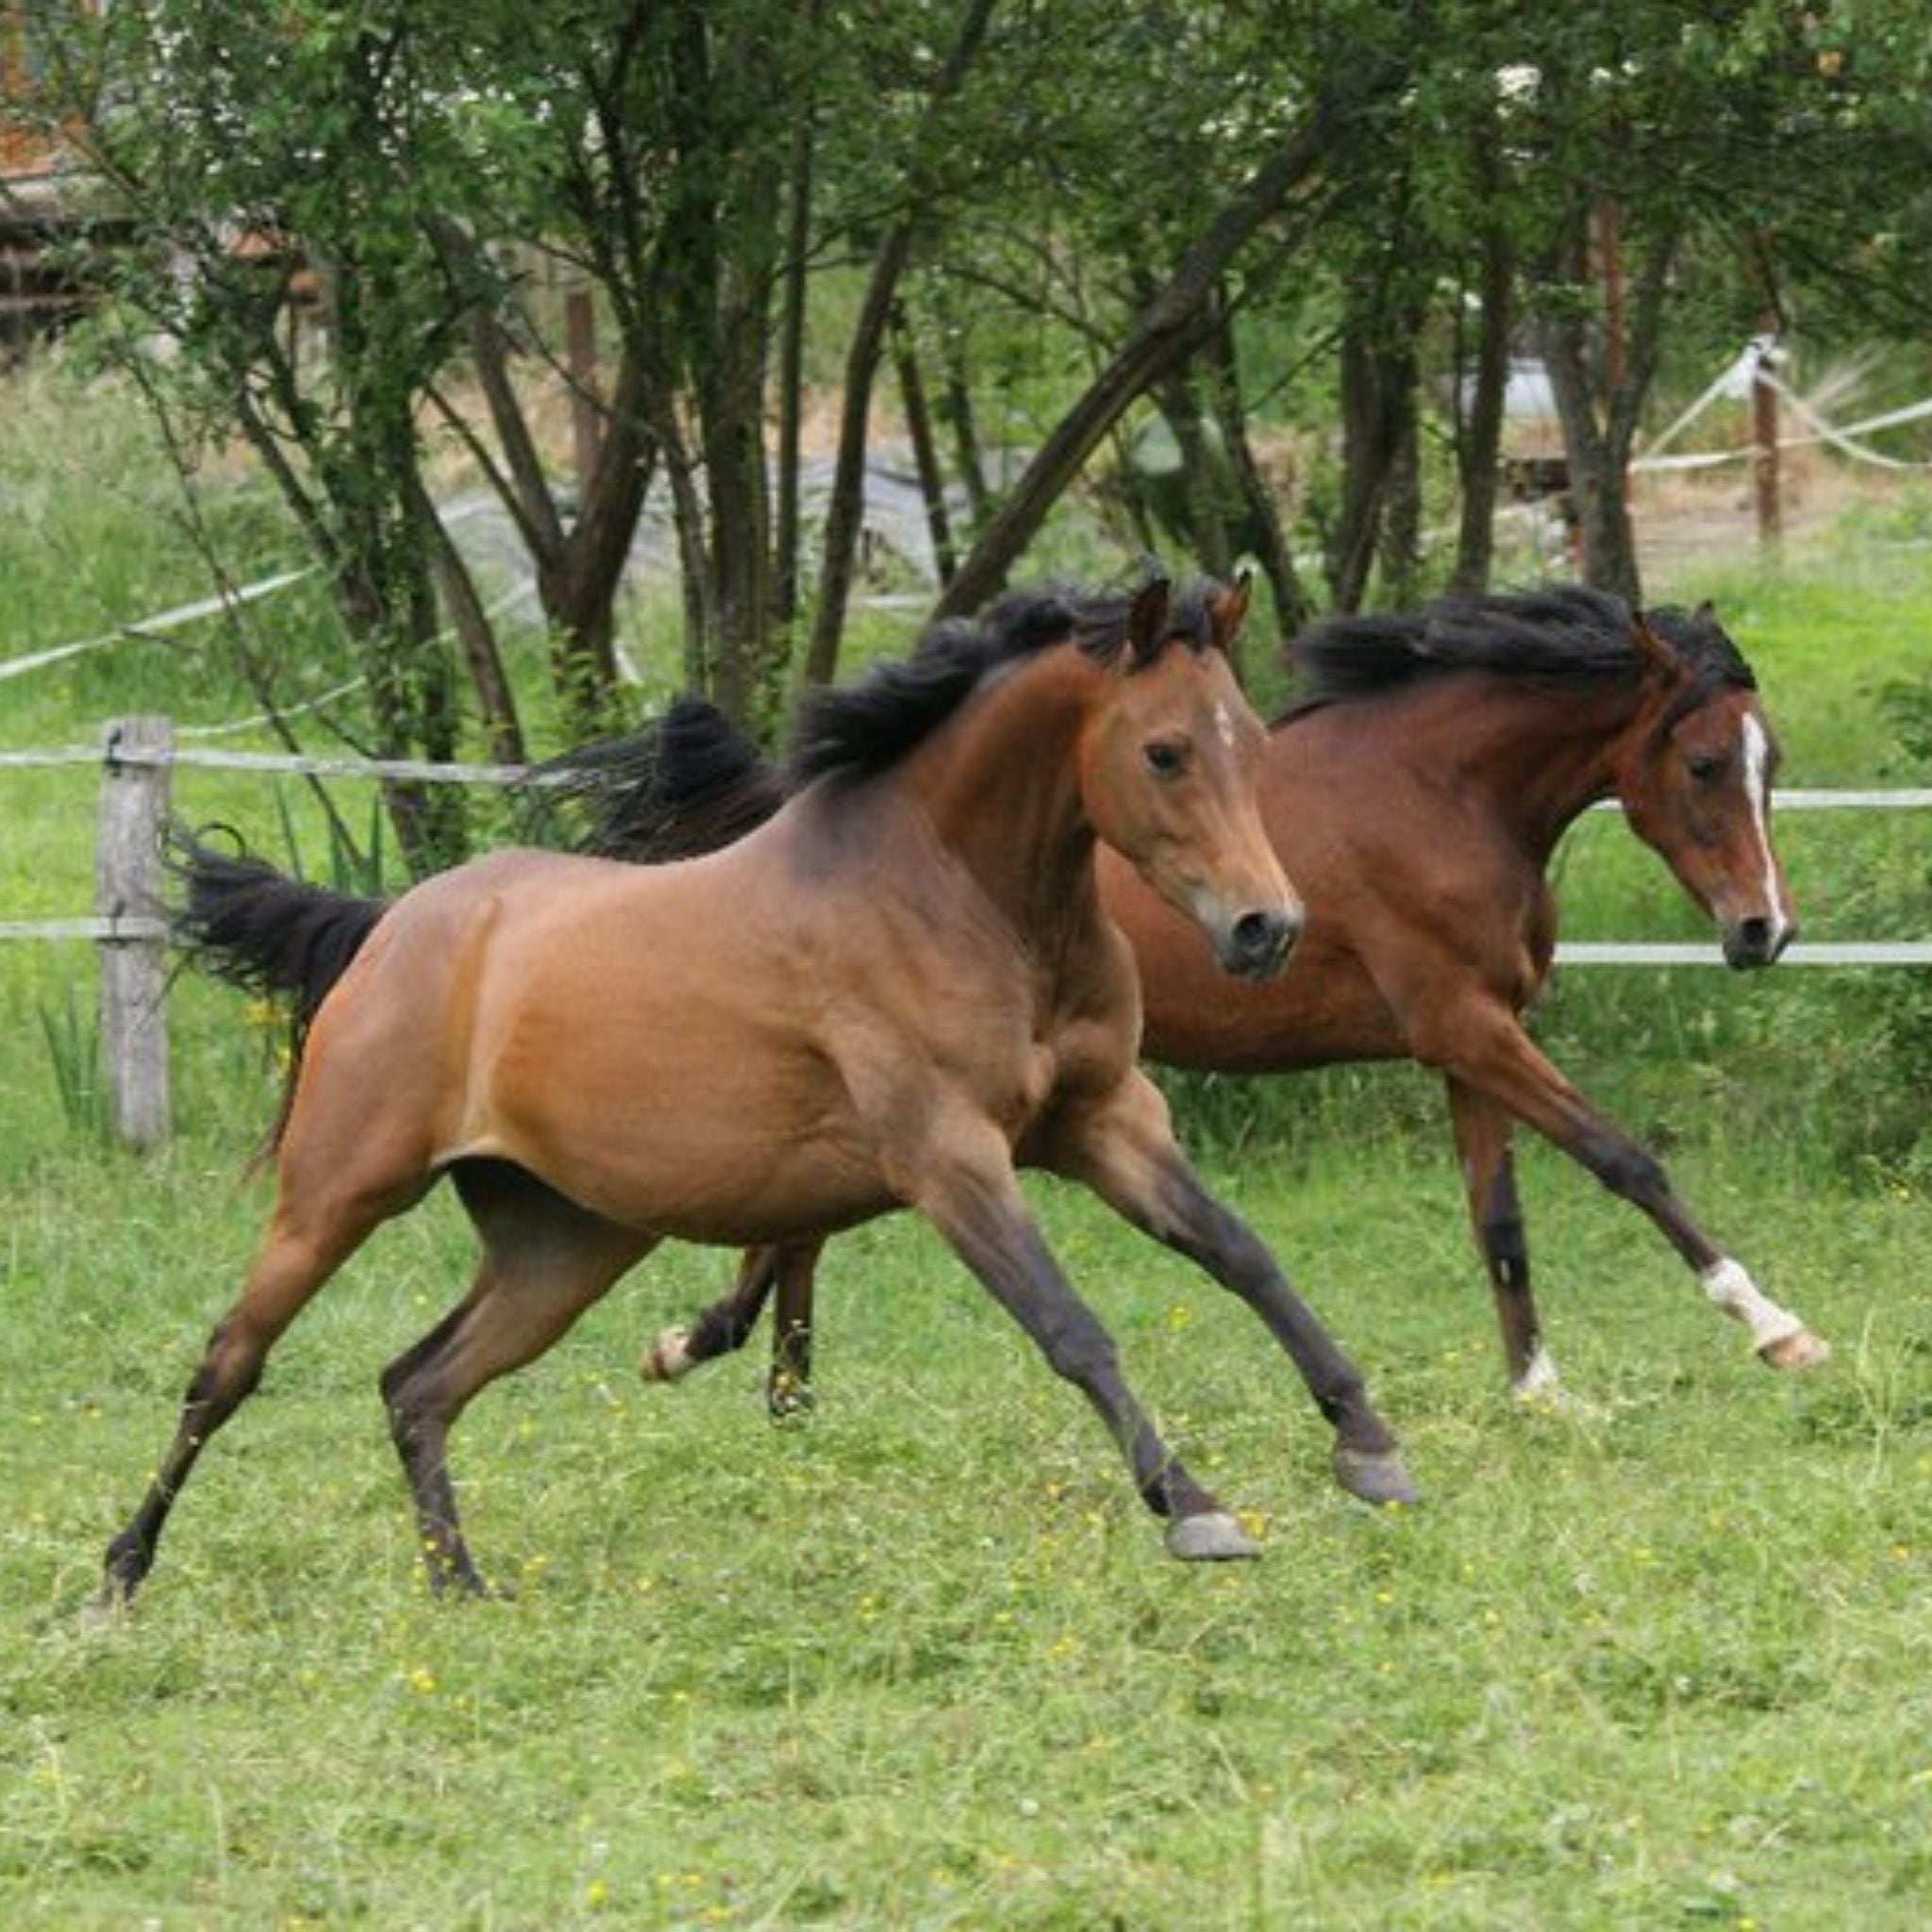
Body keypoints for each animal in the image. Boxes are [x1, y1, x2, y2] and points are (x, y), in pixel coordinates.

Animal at [102, 579, 1422, 1607]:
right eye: (1162, 750)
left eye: (1251, 743)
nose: (1264, 928)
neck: (966, 900)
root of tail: (394, 925)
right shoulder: (951, 1158)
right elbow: (1071, 1327)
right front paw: (1194, 1506)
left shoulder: (1105, 1121)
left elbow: (1245, 1257)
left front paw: (1368, 1446)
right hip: (338, 1196)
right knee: (228, 1364)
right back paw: (120, 1573)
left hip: (563, 1244)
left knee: (416, 1383)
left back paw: (460, 1585)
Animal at [575, 579, 1824, 1414]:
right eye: (1703, 763)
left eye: (1770, 760)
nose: (1762, 930)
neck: (1435, 795)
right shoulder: (1467, 1027)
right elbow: (1625, 1160)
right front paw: (1772, 1326)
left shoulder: (1469, 1040)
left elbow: (1499, 1220)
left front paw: (1536, 1387)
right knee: (794, 1229)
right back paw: (733, 1362)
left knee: (796, 1231)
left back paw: (762, 1376)